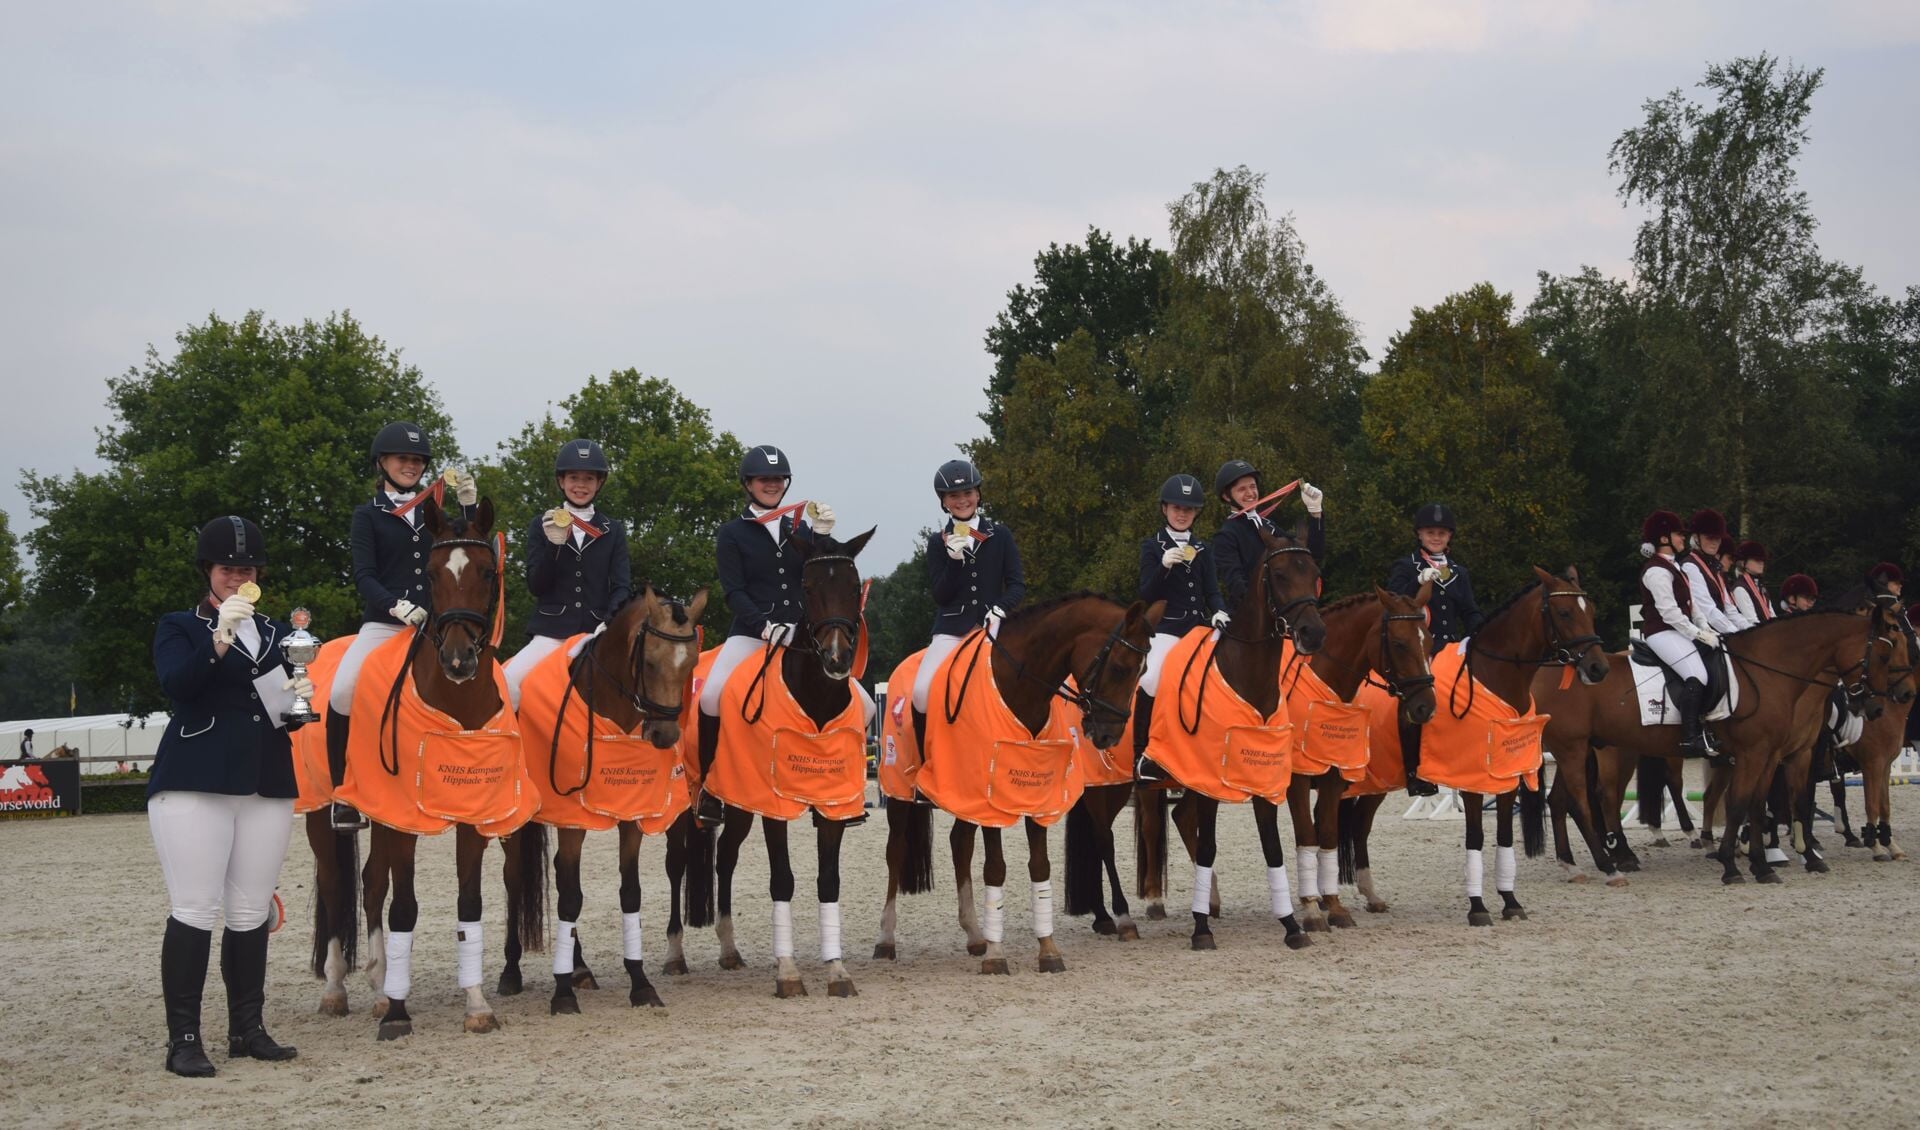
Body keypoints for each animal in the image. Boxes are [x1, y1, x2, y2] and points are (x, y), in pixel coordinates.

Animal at [349, 502, 549, 1043]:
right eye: (434, 574)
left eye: (485, 572)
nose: (459, 660)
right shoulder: (404, 820)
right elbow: (403, 908)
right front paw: (397, 1013)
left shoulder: (474, 817)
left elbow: (470, 904)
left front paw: (476, 1004)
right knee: (373, 886)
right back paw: (375, 991)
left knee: (374, 878)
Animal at [499, 587, 718, 1005]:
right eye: (648, 662)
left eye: (691, 665)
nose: (665, 736)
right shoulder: (571, 819)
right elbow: (570, 897)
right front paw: (562, 994)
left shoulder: (631, 816)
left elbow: (629, 893)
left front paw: (640, 983)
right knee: (514, 878)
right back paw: (511, 971)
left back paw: (580, 968)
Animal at [691, 529, 879, 997]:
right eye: (807, 588)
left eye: (855, 586)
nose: (836, 659)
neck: (816, 702)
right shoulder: (773, 805)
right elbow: (783, 879)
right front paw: (789, 972)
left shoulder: (832, 804)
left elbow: (828, 881)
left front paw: (837, 971)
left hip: (740, 802)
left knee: (726, 856)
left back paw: (729, 949)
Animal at [879, 590, 1159, 970]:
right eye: (1119, 668)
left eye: (1143, 670)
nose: (1108, 736)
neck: (1021, 688)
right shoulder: (992, 798)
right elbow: (995, 868)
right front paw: (997, 956)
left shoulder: (1036, 793)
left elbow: (1039, 866)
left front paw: (1047, 950)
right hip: (899, 793)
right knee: (895, 851)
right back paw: (886, 939)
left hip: (963, 793)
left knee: (959, 844)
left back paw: (974, 935)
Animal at [1128, 525, 1328, 947]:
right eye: (1280, 574)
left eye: (1314, 572)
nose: (1313, 633)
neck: (1248, 677)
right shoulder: (1209, 783)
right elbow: (1208, 846)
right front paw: (1201, 930)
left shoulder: (1261, 777)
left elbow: (1273, 848)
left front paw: (1291, 925)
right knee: (1152, 826)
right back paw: (1150, 904)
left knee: (1178, 816)